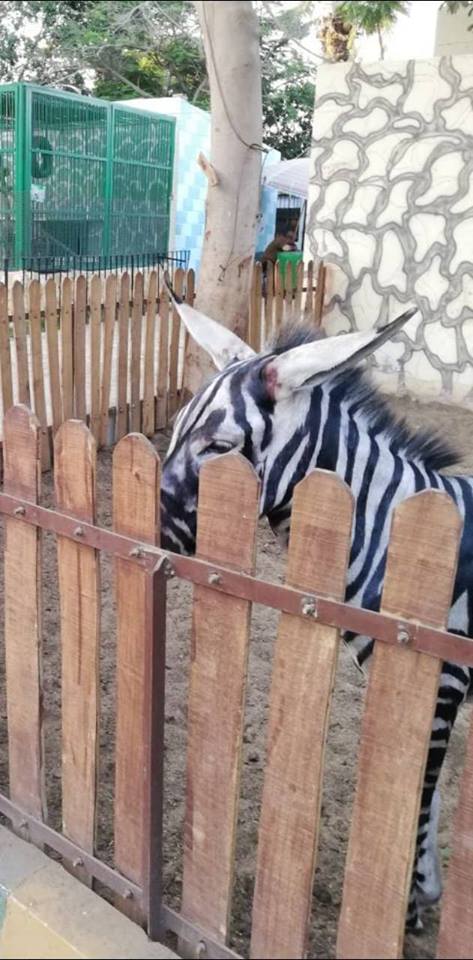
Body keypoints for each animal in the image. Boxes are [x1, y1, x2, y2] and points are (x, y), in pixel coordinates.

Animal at [160, 286, 472, 931]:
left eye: (220, 449)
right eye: (173, 430)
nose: (144, 532)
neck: (391, 536)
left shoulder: (439, 685)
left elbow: (417, 791)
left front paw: (410, 904)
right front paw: (421, 894)